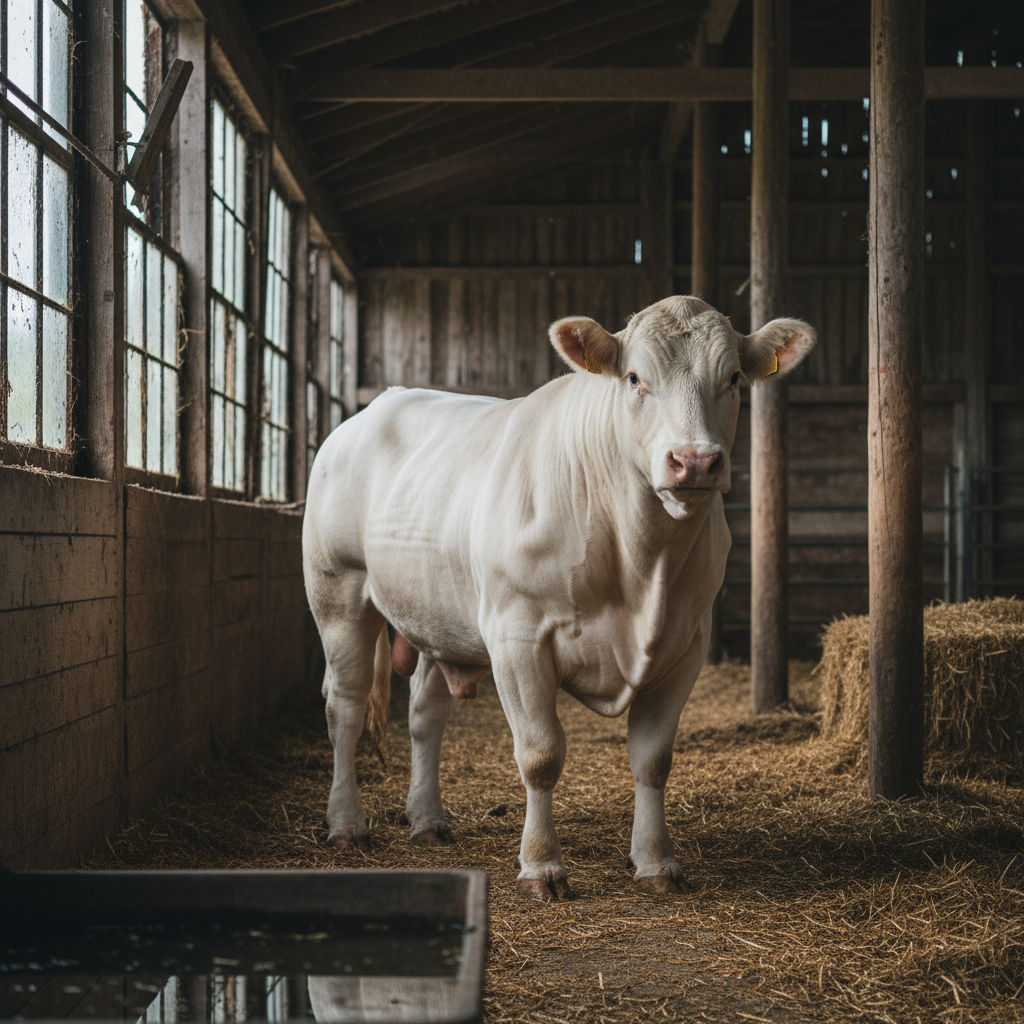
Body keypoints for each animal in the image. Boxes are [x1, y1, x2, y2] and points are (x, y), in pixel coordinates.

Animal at [302, 295, 815, 902]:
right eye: (634, 378)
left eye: (734, 377)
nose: (694, 461)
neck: (639, 568)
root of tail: (377, 405)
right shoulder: (516, 636)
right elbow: (541, 754)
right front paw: (541, 866)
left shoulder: (685, 643)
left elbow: (653, 759)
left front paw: (655, 861)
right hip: (339, 592)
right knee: (346, 706)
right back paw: (347, 825)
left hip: (439, 617)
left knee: (425, 714)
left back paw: (427, 821)